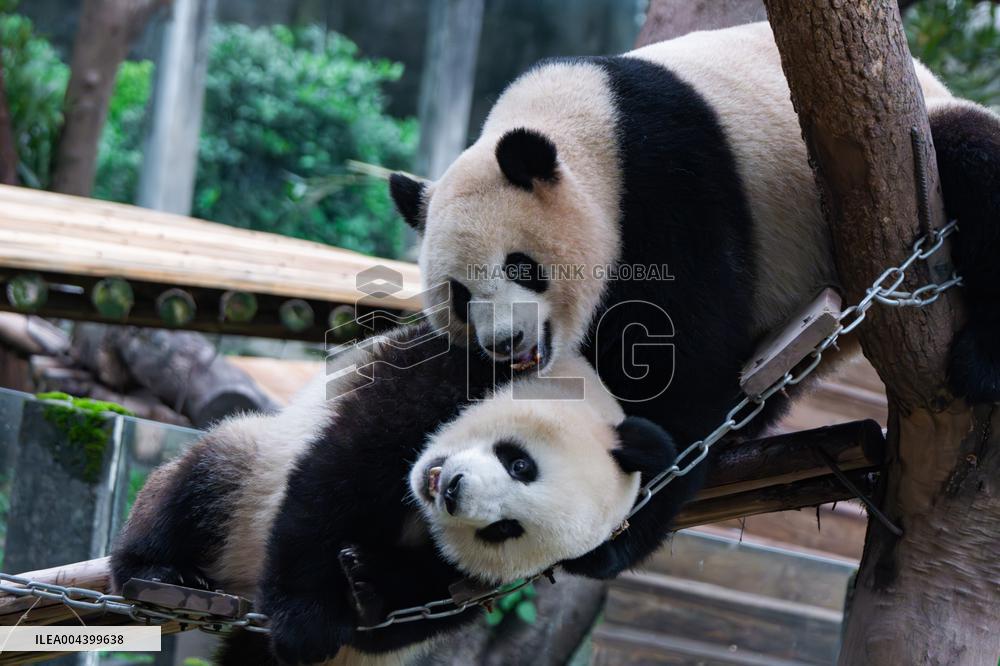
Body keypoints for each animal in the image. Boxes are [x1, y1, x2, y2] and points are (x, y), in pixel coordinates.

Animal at [111, 324, 684, 666]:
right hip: (249, 478)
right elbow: (339, 476)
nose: (454, 491)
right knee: (203, 481)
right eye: (520, 464)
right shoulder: (444, 373)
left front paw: (370, 584)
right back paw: (159, 571)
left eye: (505, 530)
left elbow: (436, 604)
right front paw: (305, 620)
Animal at [389, 21, 1000, 579]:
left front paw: (627, 520)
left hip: (917, 148)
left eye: (520, 266)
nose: (505, 341)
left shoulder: (672, 181)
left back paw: (980, 361)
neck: (589, 124)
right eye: (459, 295)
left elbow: (686, 359)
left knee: (970, 152)